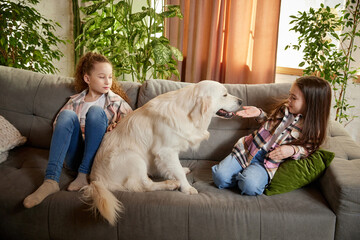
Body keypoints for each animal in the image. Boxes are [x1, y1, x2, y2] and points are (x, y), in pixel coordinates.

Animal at [82, 80, 242, 225]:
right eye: (224, 95)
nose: (241, 101)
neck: (187, 112)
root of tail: (95, 180)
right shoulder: (166, 151)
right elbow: (177, 171)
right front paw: (187, 188)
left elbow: (174, 168)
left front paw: (180, 173)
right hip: (133, 157)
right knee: (145, 185)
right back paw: (170, 184)